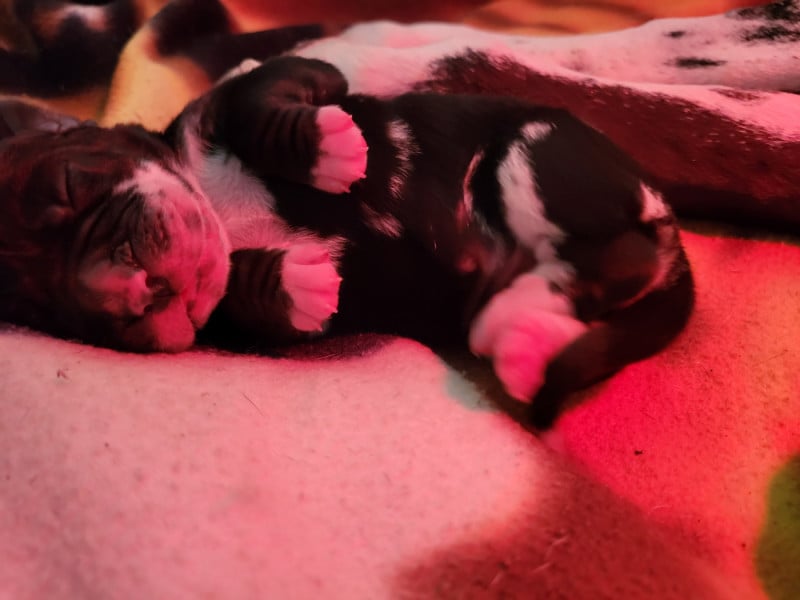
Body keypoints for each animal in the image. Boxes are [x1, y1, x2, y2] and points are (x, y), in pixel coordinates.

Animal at [0, 56, 693, 428]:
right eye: (69, 319)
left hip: (535, 155)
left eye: (67, 187)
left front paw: (330, 151)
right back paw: (519, 334)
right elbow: (245, 294)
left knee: (622, 254)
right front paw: (298, 282)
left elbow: (259, 101)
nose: (123, 289)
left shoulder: (280, 79)